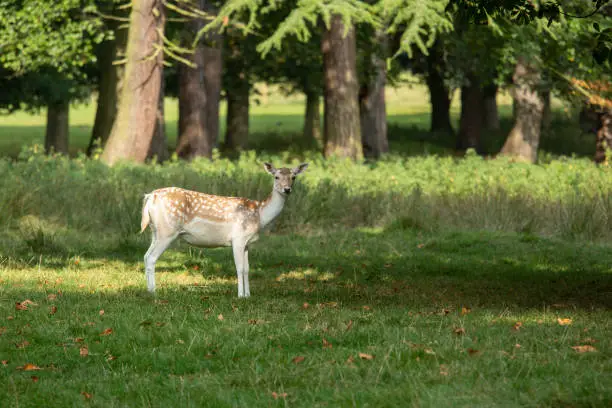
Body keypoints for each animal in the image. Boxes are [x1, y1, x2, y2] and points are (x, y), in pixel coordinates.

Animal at [141, 162, 308, 296]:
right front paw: (240, 296)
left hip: (155, 231)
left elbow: (247, 269)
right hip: (167, 231)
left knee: (146, 255)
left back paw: (148, 290)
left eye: (293, 177)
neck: (260, 215)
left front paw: (248, 295)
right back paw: (154, 292)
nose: (287, 189)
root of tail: (149, 197)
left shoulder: (247, 243)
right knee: (152, 257)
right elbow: (239, 268)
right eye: (276, 177)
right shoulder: (238, 238)